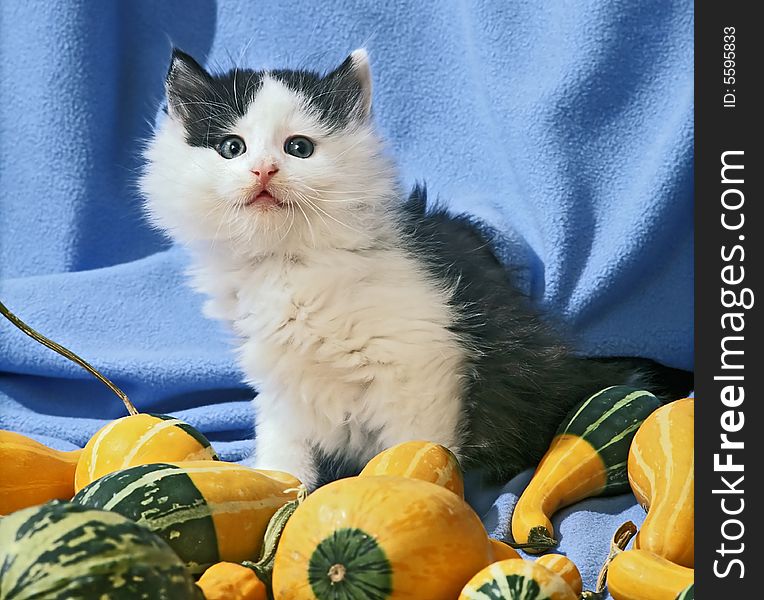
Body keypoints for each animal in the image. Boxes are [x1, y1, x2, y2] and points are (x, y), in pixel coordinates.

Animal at [139, 49, 692, 490]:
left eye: (299, 148)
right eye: (231, 148)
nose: (263, 170)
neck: (291, 264)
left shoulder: (422, 361)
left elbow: (416, 447)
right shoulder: (278, 376)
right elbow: (282, 444)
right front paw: (280, 492)